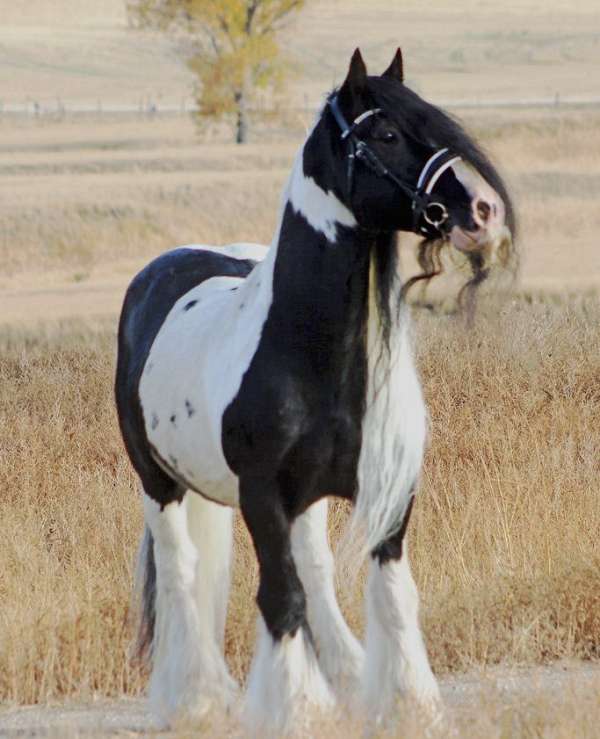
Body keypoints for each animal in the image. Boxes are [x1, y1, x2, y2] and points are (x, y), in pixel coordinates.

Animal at [115, 50, 512, 736]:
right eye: (387, 134)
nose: (484, 212)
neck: (308, 353)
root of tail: (160, 272)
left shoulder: (387, 491)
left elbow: (390, 595)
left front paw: (404, 704)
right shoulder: (262, 496)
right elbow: (280, 597)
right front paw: (294, 709)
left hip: (305, 503)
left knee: (316, 574)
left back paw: (344, 680)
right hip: (159, 482)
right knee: (180, 570)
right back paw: (193, 697)